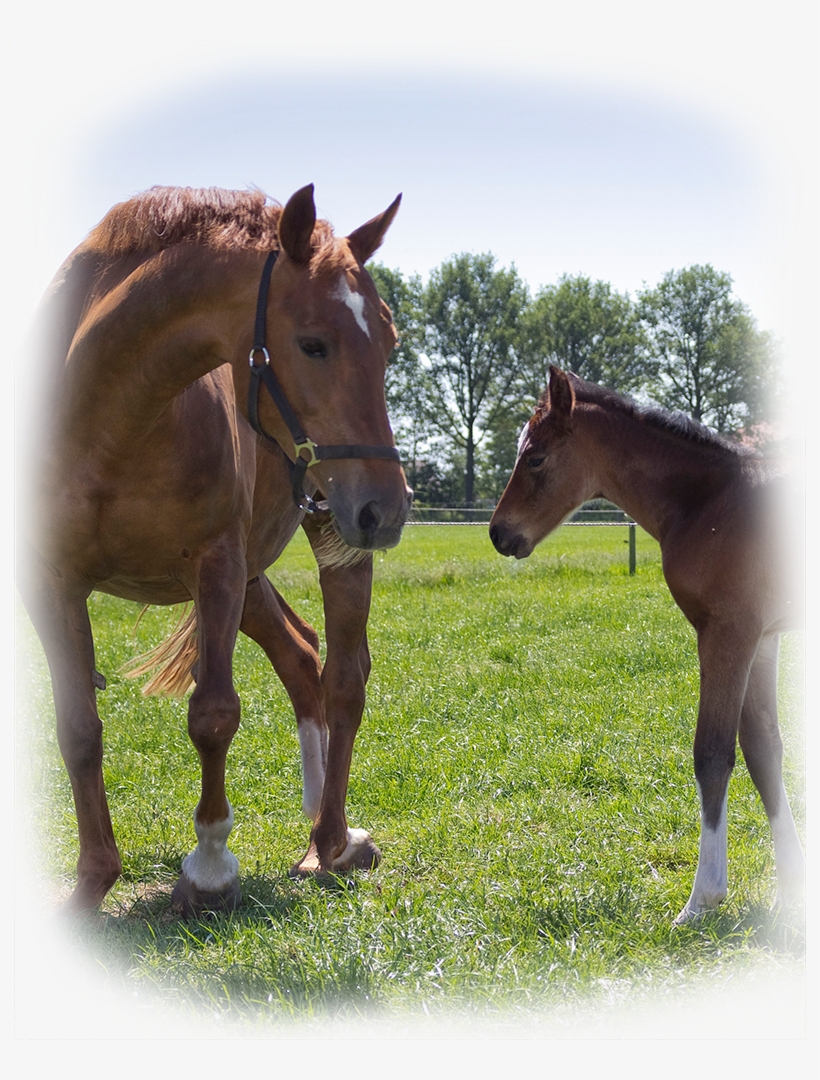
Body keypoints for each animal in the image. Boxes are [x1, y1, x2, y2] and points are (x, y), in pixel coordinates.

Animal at [17, 184, 413, 916]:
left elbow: (213, 715)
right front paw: (92, 879)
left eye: (389, 341)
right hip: (263, 571)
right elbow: (77, 727)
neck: (110, 421)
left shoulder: (217, 564)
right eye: (312, 343)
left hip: (323, 543)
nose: (389, 508)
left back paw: (333, 839)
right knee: (300, 655)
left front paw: (207, 868)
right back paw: (315, 829)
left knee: (343, 677)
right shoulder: (49, 581)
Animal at [489, 366, 804, 924]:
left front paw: (702, 899)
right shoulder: (763, 638)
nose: (498, 533)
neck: (709, 502)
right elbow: (764, 749)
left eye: (536, 457)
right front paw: (794, 885)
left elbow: (713, 753)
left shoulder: (727, 632)